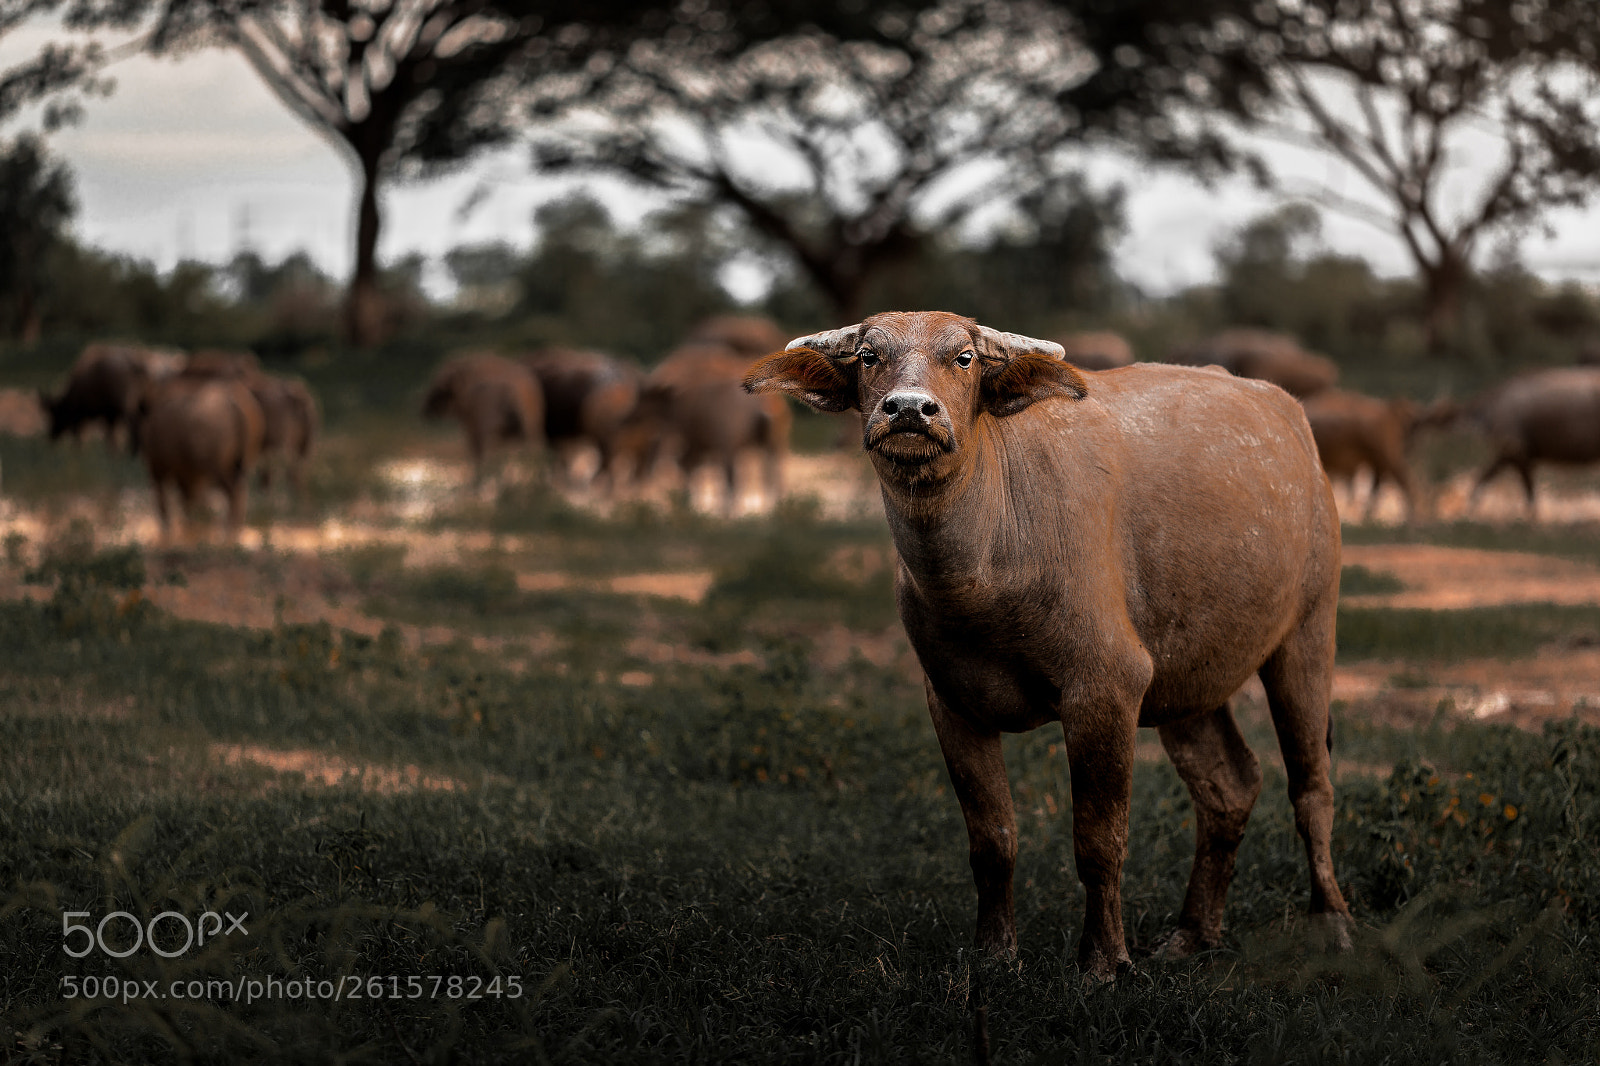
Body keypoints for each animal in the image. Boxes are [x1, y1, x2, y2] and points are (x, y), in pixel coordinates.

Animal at [136, 376, 266, 542]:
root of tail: (233, 403)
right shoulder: (187, 474)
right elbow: (188, 499)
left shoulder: (159, 468)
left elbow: (166, 500)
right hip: (240, 465)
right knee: (240, 490)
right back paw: (233, 529)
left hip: (218, 469)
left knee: (232, 491)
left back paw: (228, 531)